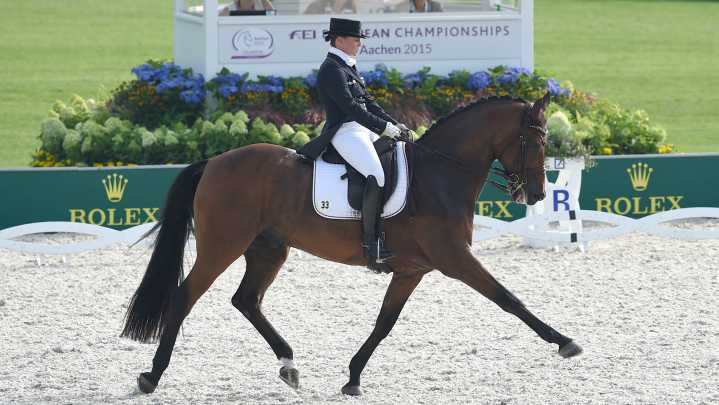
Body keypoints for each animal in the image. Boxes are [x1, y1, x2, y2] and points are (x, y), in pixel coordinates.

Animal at [120, 92, 583, 396]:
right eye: (536, 141)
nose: (537, 195)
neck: (440, 175)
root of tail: (214, 161)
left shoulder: (411, 270)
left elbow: (384, 323)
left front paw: (353, 378)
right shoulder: (455, 259)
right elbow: (508, 299)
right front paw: (564, 342)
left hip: (269, 248)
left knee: (247, 300)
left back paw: (289, 365)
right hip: (223, 245)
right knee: (185, 296)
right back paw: (151, 376)